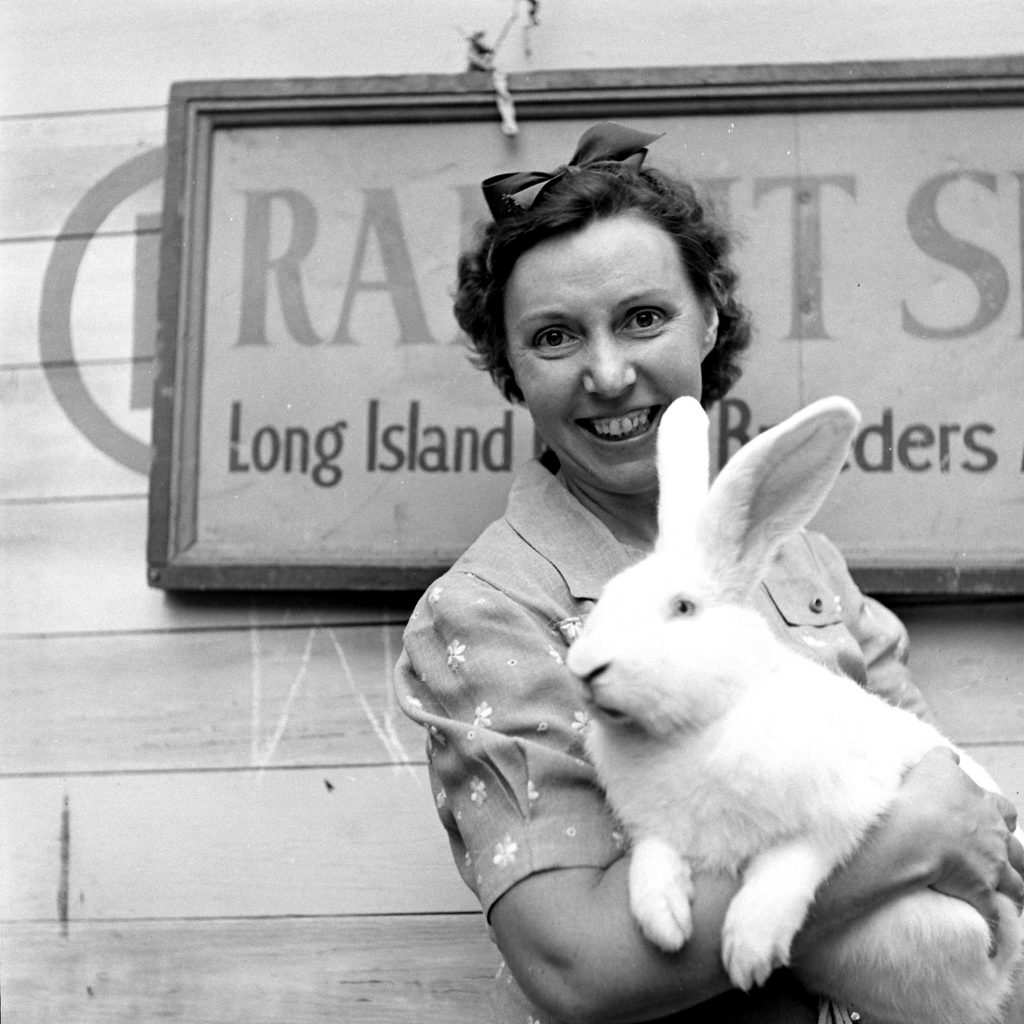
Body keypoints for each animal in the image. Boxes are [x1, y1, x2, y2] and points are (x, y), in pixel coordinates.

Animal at [565, 395, 1019, 1024]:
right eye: (605, 597)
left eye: (683, 608)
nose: (585, 668)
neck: (706, 722)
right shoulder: (656, 830)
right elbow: (651, 859)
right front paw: (664, 921)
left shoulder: (847, 803)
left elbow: (791, 863)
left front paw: (748, 948)